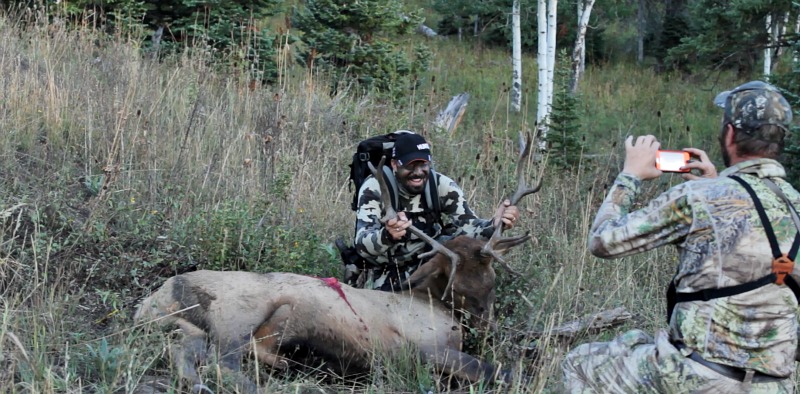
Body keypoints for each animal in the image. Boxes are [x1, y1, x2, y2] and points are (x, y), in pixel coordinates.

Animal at [134, 135, 540, 390]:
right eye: (457, 286)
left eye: (492, 282)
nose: (487, 327)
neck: (432, 301)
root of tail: (161, 294)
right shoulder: (426, 349)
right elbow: (502, 371)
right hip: (237, 317)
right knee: (227, 364)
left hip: (189, 330)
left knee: (186, 355)